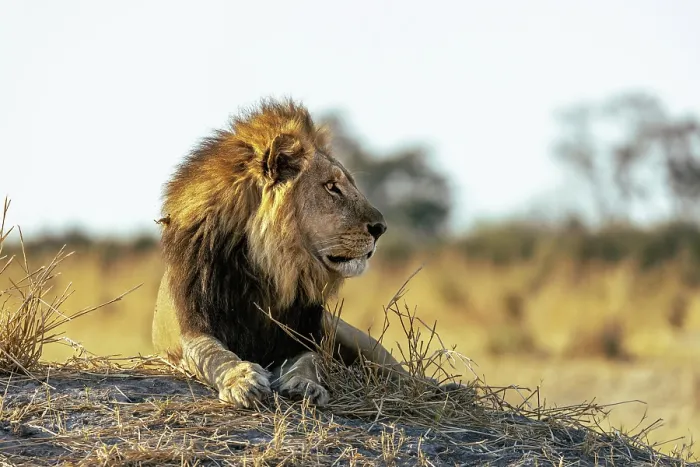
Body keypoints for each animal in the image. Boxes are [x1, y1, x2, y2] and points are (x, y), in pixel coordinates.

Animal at [152, 98, 411, 408]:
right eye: (332, 187)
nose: (381, 228)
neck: (266, 268)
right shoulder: (191, 329)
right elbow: (214, 354)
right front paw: (243, 381)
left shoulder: (301, 337)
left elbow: (310, 362)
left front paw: (306, 385)